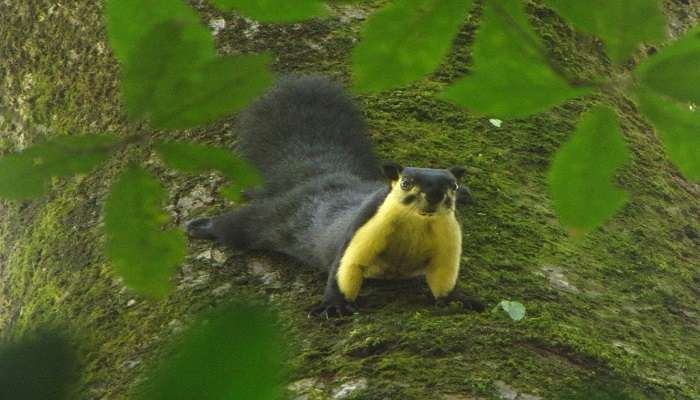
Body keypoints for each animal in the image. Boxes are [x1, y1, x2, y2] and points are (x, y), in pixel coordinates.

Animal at [186, 75, 484, 318]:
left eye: (452, 185)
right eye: (406, 182)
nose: (435, 195)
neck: (417, 224)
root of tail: (322, 179)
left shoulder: (449, 239)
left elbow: (443, 278)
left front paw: (458, 298)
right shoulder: (361, 230)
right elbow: (344, 270)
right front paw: (334, 305)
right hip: (272, 217)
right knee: (241, 225)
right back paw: (203, 226)